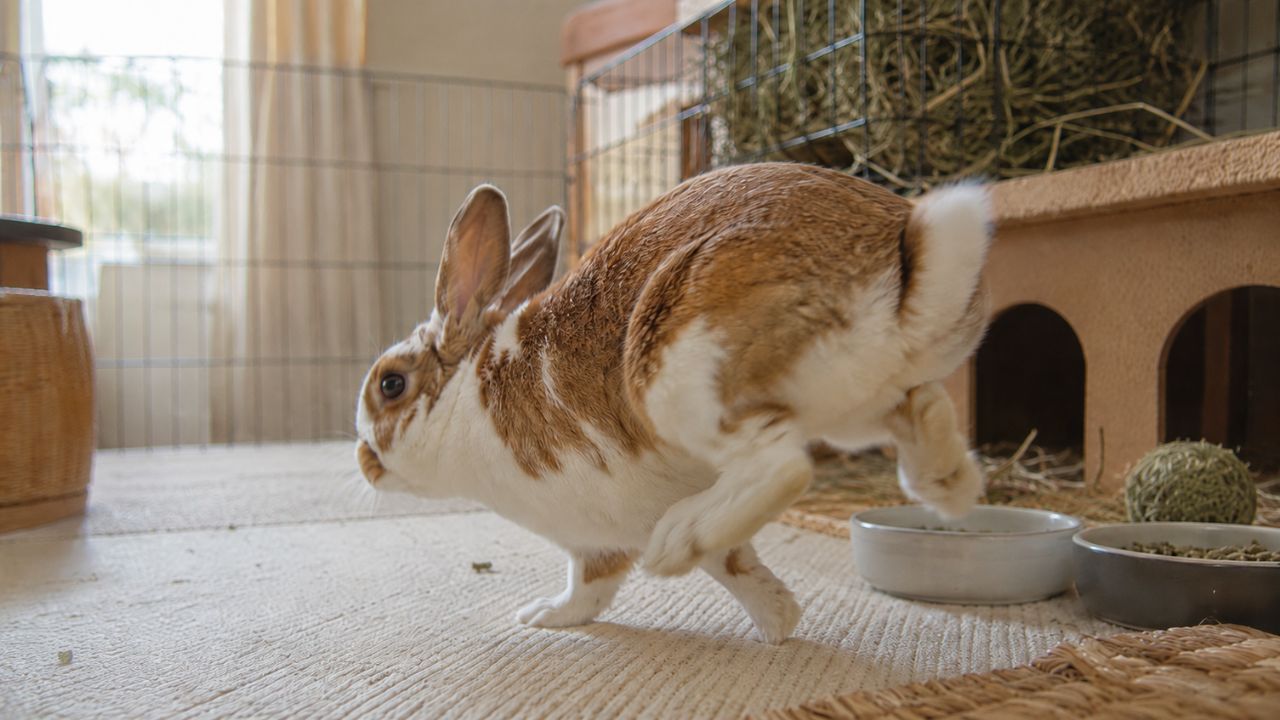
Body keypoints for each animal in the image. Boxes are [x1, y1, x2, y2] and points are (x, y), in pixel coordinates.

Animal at [355, 162, 991, 644]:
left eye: (390, 385)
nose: (363, 463)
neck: (465, 398)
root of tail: (906, 268)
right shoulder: (619, 533)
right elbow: (735, 567)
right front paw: (780, 625)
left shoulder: (594, 532)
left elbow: (587, 589)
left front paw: (540, 616)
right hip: (857, 407)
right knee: (923, 406)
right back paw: (949, 488)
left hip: (679, 377)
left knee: (780, 466)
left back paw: (674, 543)